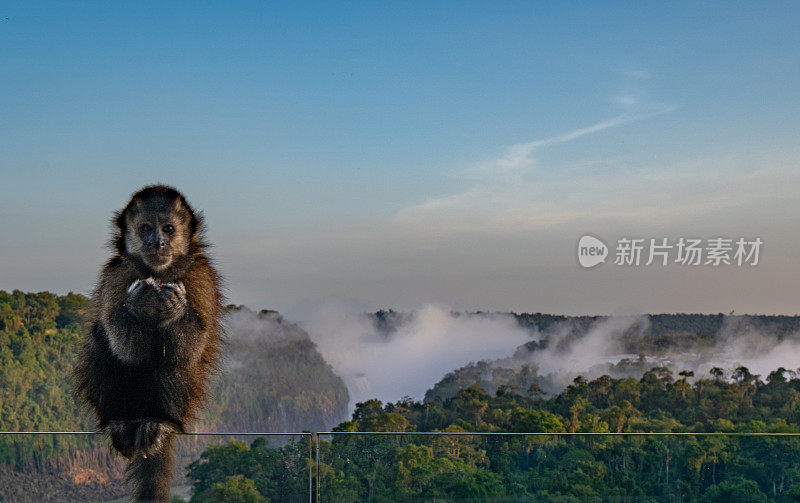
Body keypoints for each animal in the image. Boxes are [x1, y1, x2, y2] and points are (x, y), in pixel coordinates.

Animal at [74, 186, 222, 503]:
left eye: (168, 229)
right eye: (145, 229)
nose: (157, 242)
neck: (160, 273)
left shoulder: (201, 275)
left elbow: (191, 349)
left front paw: (174, 309)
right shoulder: (116, 273)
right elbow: (124, 349)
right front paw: (137, 304)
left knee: (173, 359)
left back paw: (160, 421)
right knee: (100, 342)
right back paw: (118, 420)